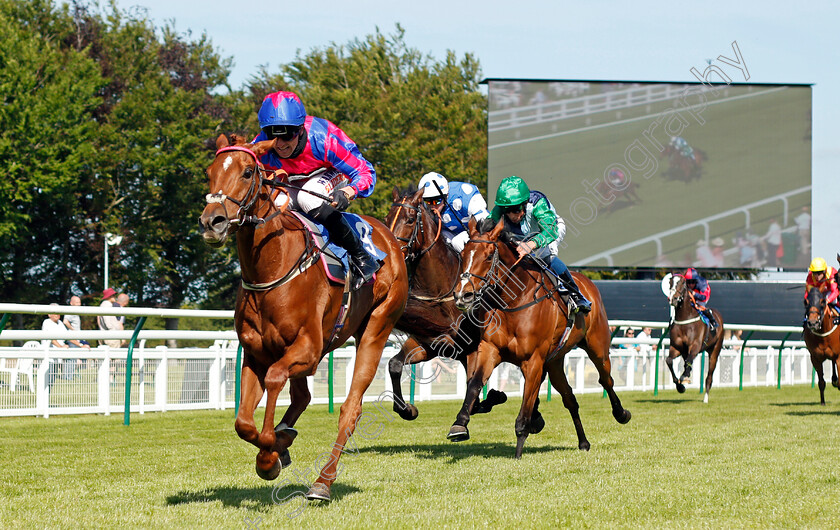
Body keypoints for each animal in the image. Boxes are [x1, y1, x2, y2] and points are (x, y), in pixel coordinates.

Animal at [197, 133, 406, 500]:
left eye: (248, 172)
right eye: (210, 172)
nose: (212, 222)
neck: (273, 267)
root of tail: (390, 239)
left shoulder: (307, 349)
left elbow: (274, 381)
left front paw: (269, 453)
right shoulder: (257, 353)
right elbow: (243, 423)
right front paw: (275, 448)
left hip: (376, 328)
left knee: (350, 409)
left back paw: (323, 481)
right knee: (302, 397)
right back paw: (286, 438)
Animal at [452, 217, 632, 456]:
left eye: (489, 255)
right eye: (463, 254)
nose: (463, 294)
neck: (514, 301)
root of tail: (587, 282)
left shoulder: (534, 360)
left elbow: (526, 407)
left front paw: (519, 451)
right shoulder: (490, 349)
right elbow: (474, 383)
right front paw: (459, 424)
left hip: (597, 347)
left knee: (606, 379)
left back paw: (621, 414)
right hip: (555, 362)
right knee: (570, 398)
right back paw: (583, 442)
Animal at [668, 272, 724, 400]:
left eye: (682, 283)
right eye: (670, 282)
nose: (673, 299)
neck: (684, 319)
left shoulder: (695, 346)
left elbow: (688, 361)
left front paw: (684, 377)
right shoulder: (676, 347)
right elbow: (669, 361)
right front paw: (680, 386)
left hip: (715, 350)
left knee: (709, 376)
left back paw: (706, 398)